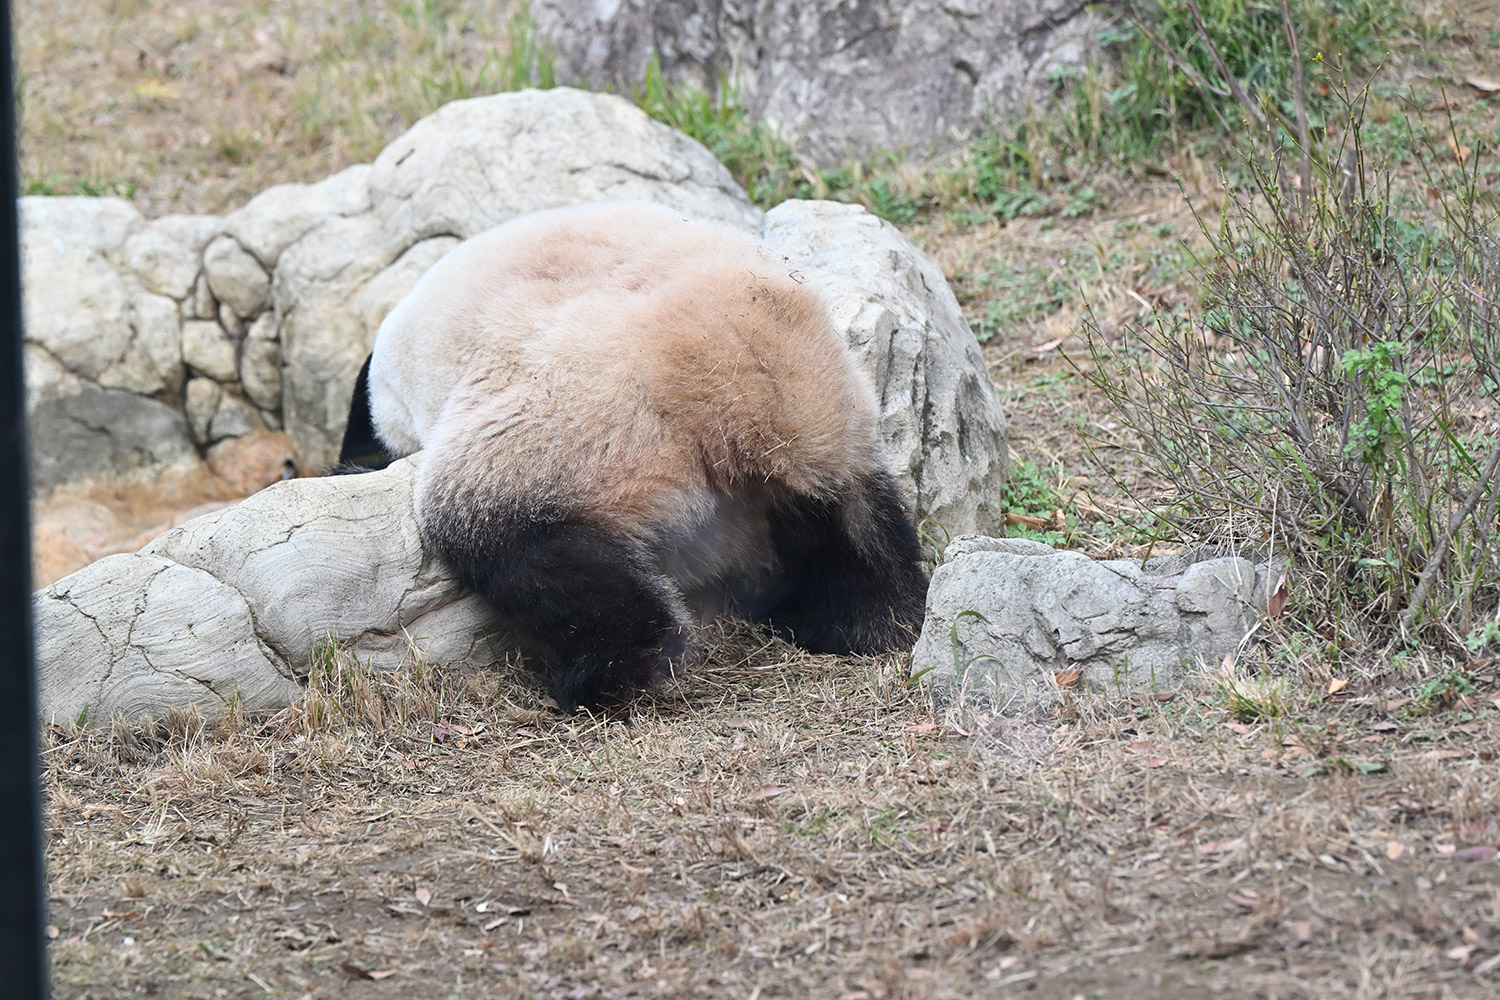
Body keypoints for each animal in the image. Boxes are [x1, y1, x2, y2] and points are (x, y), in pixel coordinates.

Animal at [338, 201, 928, 710]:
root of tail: (741, 377)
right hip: (838, 426)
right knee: (859, 529)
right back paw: (873, 622)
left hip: (579, 419)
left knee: (509, 539)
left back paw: (605, 675)